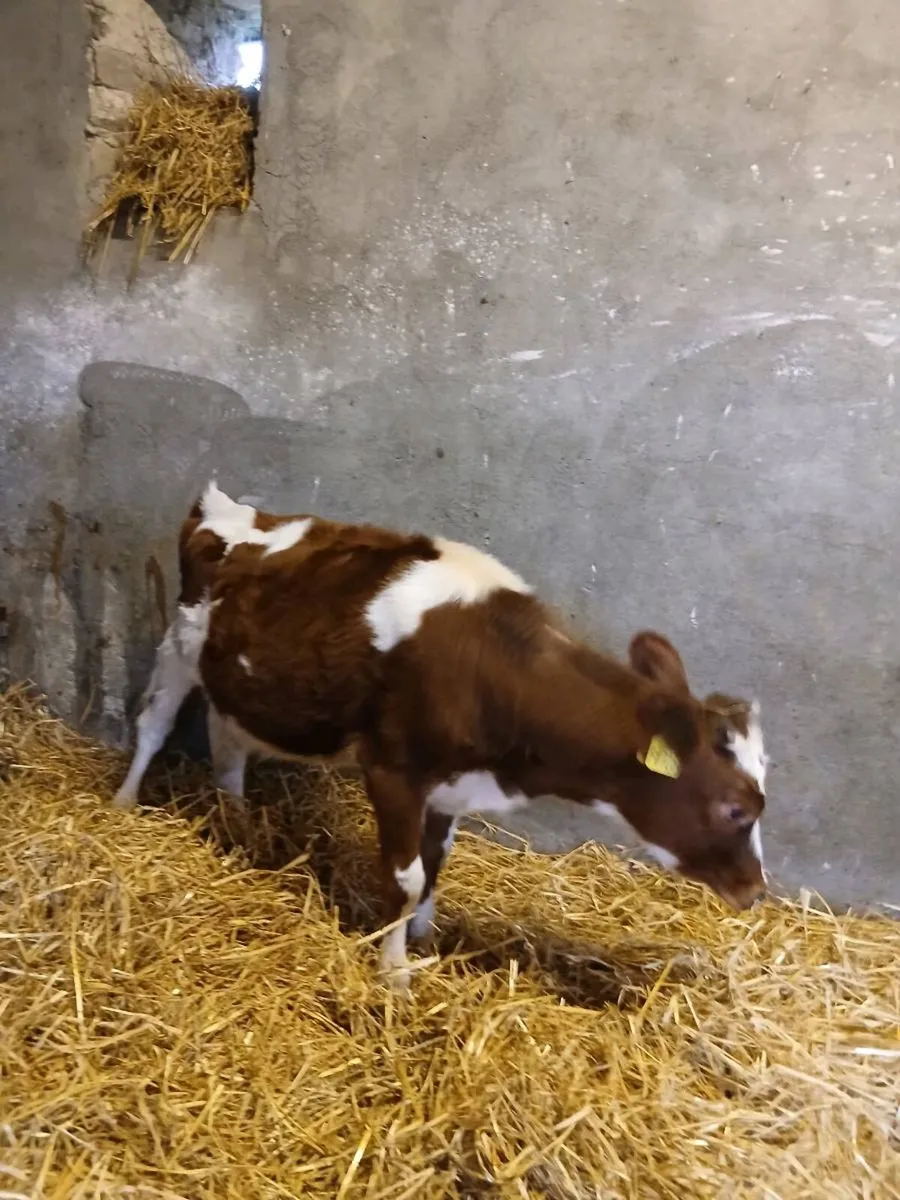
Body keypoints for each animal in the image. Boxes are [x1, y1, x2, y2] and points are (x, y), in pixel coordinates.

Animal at [115, 483, 769, 989]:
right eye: (736, 808)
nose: (756, 890)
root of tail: (229, 509)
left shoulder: (451, 786)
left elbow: (434, 865)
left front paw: (424, 938)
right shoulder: (394, 770)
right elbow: (405, 878)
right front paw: (395, 969)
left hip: (235, 678)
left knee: (227, 742)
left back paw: (238, 824)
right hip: (179, 645)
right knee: (152, 725)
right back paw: (124, 802)